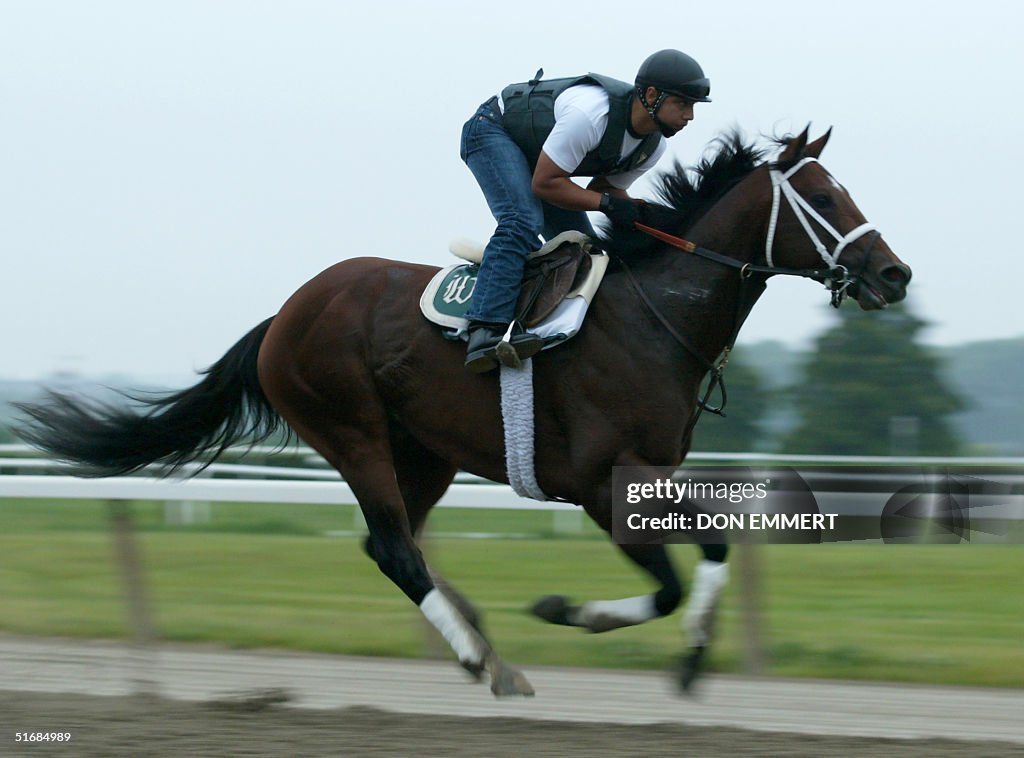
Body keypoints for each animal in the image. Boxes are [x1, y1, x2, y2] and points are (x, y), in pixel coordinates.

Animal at [14, 125, 913, 700]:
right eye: (824, 195)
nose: (895, 274)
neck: (653, 318)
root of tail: (285, 314)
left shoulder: (652, 471)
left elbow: (717, 547)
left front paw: (691, 659)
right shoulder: (596, 480)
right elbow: (659, 585)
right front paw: (568, 611)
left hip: (426, 453)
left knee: (393, 545)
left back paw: (477, 639)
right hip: (351, 430)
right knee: (393, 549)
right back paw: (489, 663)